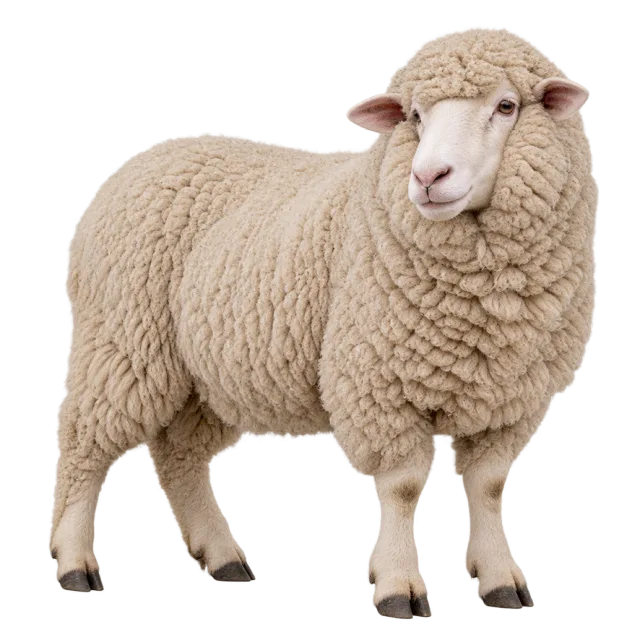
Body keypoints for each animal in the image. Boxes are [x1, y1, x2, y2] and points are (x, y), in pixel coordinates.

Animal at [50, 25, 596, 619]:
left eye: (506, 106)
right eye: (414, 115)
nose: (427, 177)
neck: (482, 302)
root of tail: (144, 156)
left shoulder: (509, 398)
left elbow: (490, 486)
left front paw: (501, 583)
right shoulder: (381, 383)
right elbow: (403, 488)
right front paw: (398, 588)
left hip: (205, 376)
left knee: (180, 457)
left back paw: (223, 558)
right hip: (119, 341)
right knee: (84, 445)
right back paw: (75, 564)